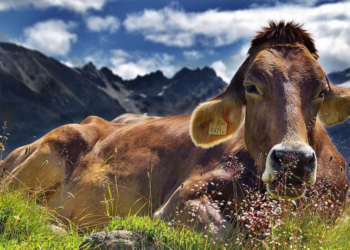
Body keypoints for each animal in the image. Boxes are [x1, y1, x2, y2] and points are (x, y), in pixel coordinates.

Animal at [0, 20, 350, 237]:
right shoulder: (179, 201)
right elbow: (218, 232)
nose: (293, 160)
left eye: (321, 90)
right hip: (48, 152)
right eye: (252, 87)